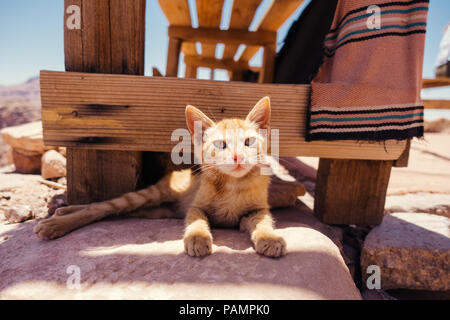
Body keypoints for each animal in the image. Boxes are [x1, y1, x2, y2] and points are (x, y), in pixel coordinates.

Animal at [35, 97, 288, 258]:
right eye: (220, 145)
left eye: (249, 142)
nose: (237, 158)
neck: (233, 185)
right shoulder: (196, 206)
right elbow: (196, 221)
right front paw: (197, 238)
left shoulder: (257, 210)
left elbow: (264, 222)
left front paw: (270, 238)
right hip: (150, 194)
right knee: (102, 207)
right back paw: (57, 222)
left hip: (159, 211)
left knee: (120, 212)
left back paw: (63, 212)